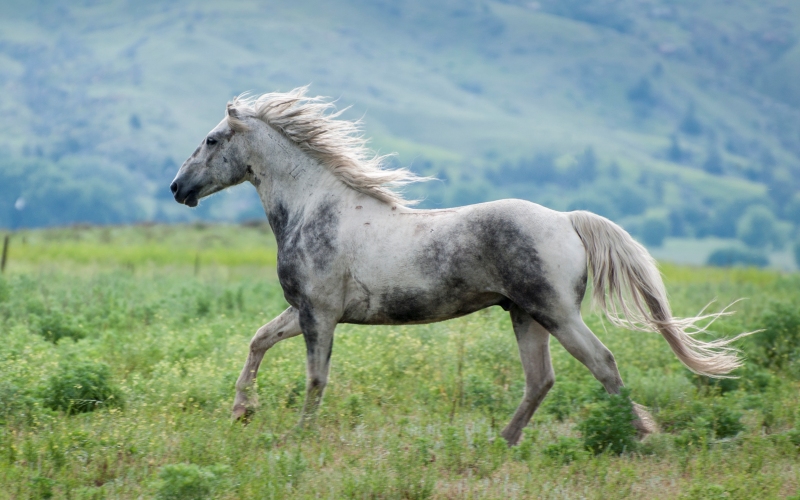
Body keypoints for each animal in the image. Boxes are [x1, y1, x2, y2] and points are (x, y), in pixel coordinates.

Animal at [172, 87, 748, 446]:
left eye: (212, 139)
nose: (178, 188)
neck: (316, 208)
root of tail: (566, 219)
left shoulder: (320, 315)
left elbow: (315, 378)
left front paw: (297, 435)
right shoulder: (303, 311)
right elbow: (258, 341)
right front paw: (241, 410)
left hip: (556, 313)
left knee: (602, 364)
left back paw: (642, 436)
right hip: (525, 315)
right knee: (540, 380)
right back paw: (502, 442)